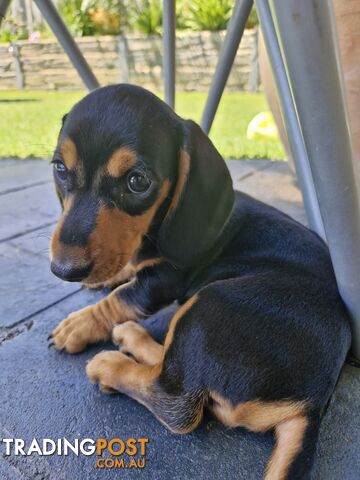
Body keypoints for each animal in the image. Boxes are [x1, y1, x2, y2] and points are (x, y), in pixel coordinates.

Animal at [48, 84, 352, 478]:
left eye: (137, 182)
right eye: (59, 168)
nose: (63, 269)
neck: (154, 229)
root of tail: (309, 405)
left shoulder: (165, 280)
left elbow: (120, 299)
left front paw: (79, 324)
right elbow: (125, 271)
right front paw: (109, 275)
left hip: (209, 303)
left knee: (176, 398)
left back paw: (112, 363)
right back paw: (133, 338)